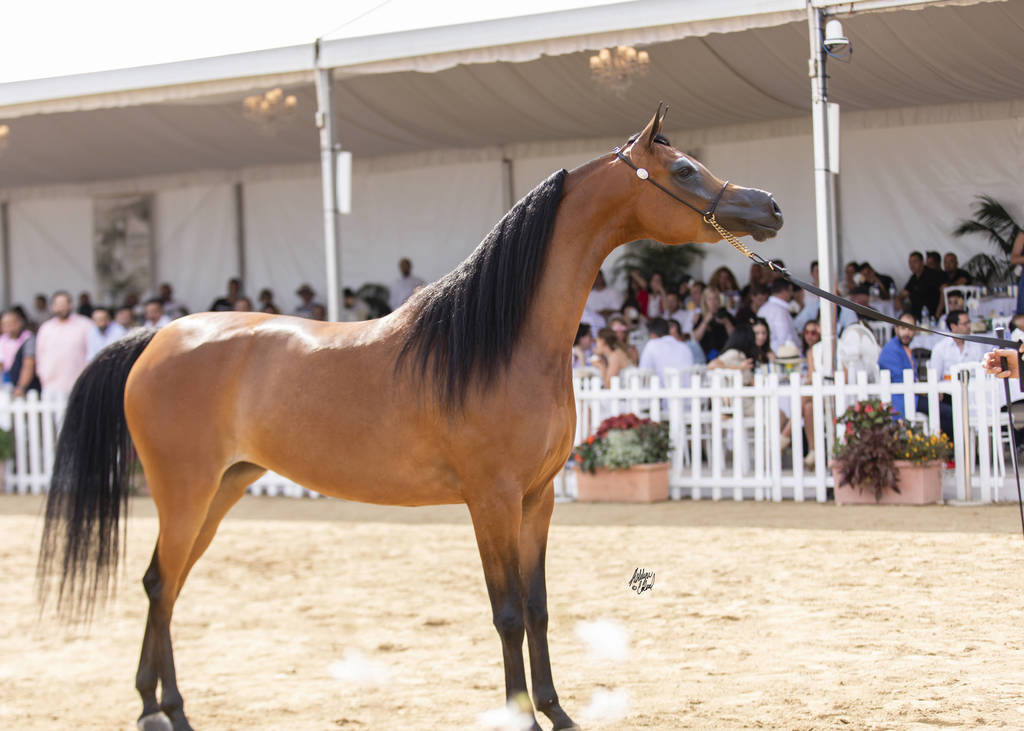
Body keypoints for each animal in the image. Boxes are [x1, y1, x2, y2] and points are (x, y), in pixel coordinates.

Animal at [37, 105, 782, 731]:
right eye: (683, 169)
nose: (769, 205)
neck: (499, 341)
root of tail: (157, 338)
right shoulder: (490, 499)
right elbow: (507, 613)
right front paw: (522, 718)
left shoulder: (537, 499)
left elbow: (538, 607)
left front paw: (558, 713)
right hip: (186, 490)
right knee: (161, 583)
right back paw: (162, 711)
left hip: (222, 488)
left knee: (166, 587)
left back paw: (161, 706)